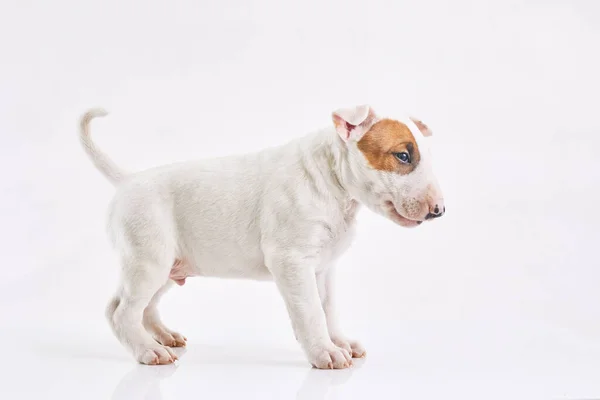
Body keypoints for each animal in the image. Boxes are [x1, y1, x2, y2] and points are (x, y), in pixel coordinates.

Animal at [79, 105, 446, 368]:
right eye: (403, 155)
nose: (439, 210)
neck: (332, 181)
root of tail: (128, 180)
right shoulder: (292, 262)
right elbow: (311, 310)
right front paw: (325, 353)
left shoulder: (323, 267)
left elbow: (328, 307)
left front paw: (340, 342)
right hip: (148, 260)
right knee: (120, 311)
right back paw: (147, 351)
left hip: (169, 264)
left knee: (143, 306)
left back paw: (163, 337)